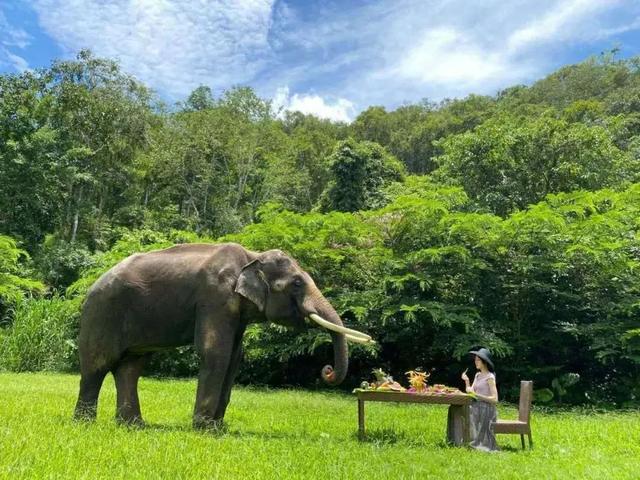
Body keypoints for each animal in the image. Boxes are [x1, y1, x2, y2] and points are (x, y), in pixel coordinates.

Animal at [72, 244, 372, 428]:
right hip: (102, 314)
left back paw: (133, 426)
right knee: (97, 366)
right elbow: (215, 351)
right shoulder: (215, 297)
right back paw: (85, 424)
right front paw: (204, 429)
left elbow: (234, 357)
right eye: (297, 283)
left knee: (130, 368)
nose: (327, 370)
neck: (251, 257)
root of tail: (90, 287)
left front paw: (219, 428)